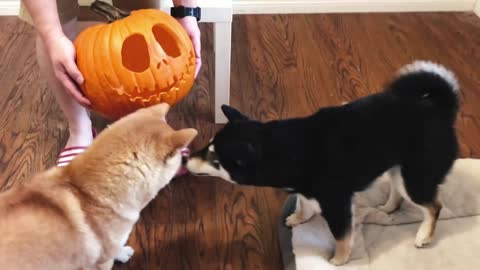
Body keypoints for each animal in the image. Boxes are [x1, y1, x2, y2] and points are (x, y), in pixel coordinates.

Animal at [186, 60, 460, 264]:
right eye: (207, 146)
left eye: (215, 159)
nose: (186, 158)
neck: (287, 151)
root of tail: (439, 109)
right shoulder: (307, 190)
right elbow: (304, 205)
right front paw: (298, 219)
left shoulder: (336, 203)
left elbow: (342, 237)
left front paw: (339, 260)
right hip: (399, 170)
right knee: (399, 192)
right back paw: (388, 208)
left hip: (416, 176)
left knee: (433, 206)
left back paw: (424, 235)